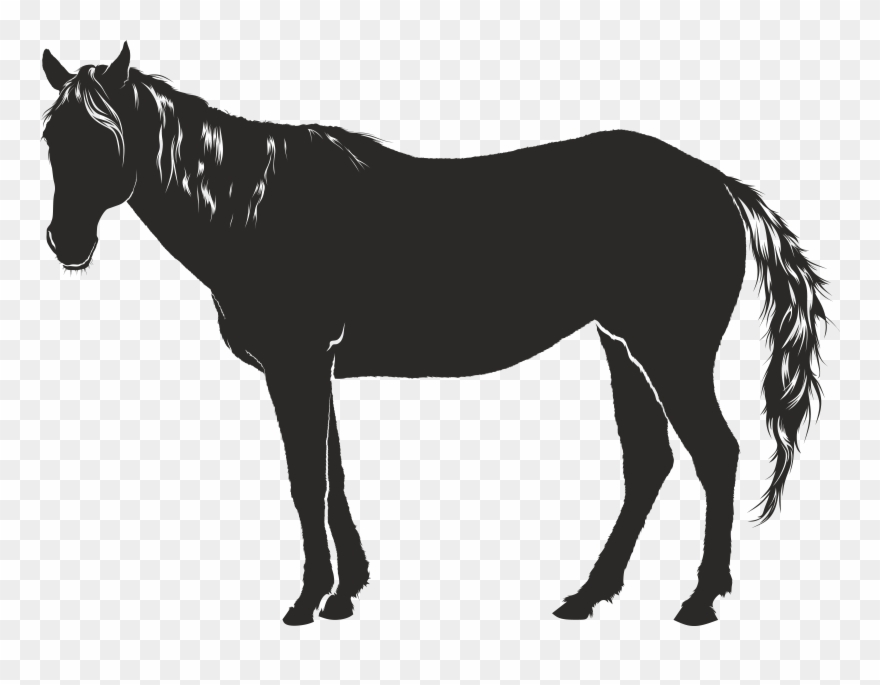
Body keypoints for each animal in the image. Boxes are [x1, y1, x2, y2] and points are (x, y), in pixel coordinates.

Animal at [41, 43, 828, 627]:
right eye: (50, 137)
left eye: (106, 137)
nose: (66, 242)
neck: (259, 209)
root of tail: (721, 185)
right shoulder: (318, 368)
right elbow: (333, 475)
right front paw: (345, 592)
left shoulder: (297, 363)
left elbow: (306, 479)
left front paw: (307, 599)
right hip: (623, 347)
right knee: (650, 463)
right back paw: (587, 596)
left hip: (671, 352)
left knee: (714, 454)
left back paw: (699, 599)